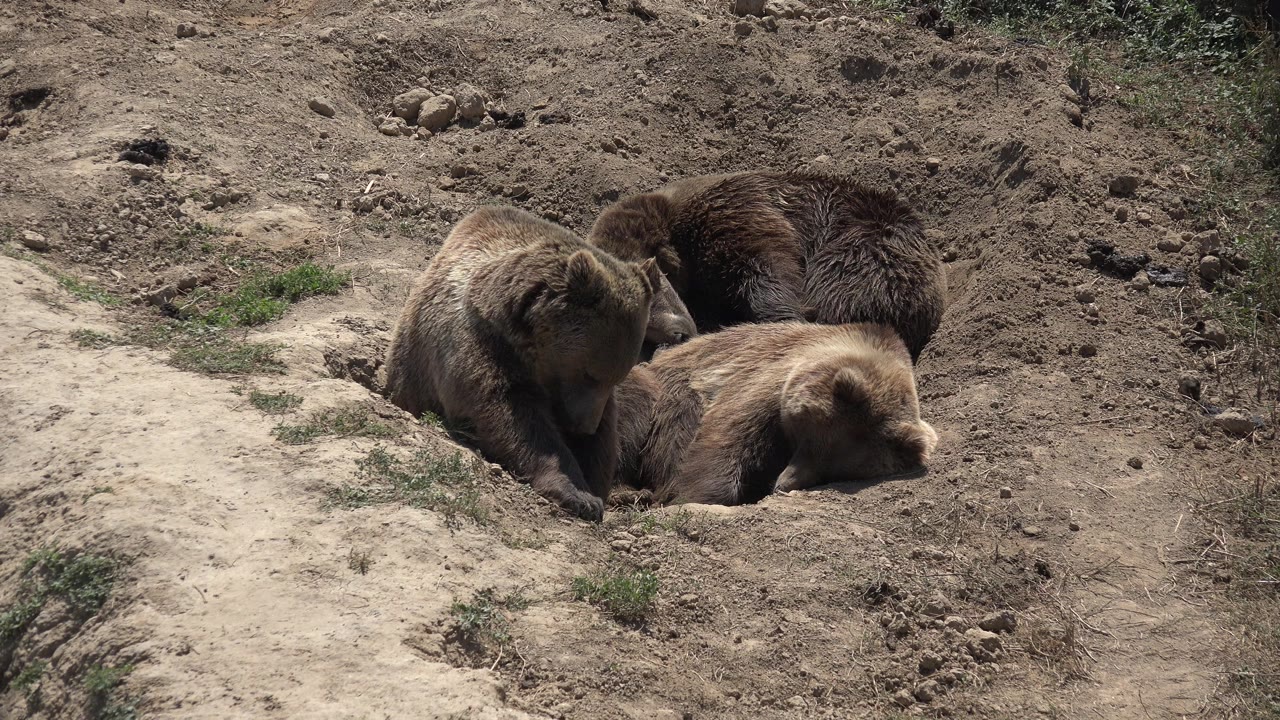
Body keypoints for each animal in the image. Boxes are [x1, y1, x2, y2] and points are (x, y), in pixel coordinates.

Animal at [384, 205, 660, 521]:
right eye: (590, 374)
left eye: (616, 377)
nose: (585, 427)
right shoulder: (480, 344)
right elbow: (513, 415)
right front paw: (578, 493)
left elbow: (604, 439)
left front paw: (593, 483)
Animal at [614, 322, 938, 506]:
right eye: (807, 439)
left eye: (834, 471)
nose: (782, 485)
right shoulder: (769, 377)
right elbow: (726, 435)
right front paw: (691, 496)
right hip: (655, 388)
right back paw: (628, 492)